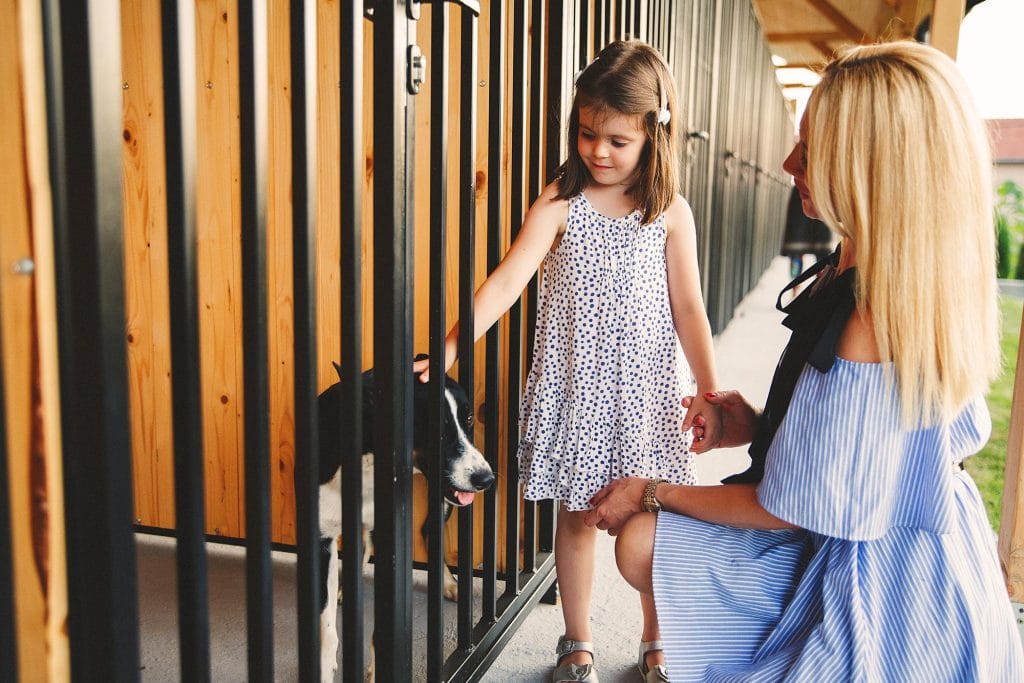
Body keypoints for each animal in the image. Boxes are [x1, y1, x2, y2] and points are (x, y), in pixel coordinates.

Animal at [311, 360, 491, 679]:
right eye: (432, 426)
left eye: (470, 418)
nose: (486, 479)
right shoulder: (323, 538)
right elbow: (326, 626)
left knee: (429, 533)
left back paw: (448, 582)